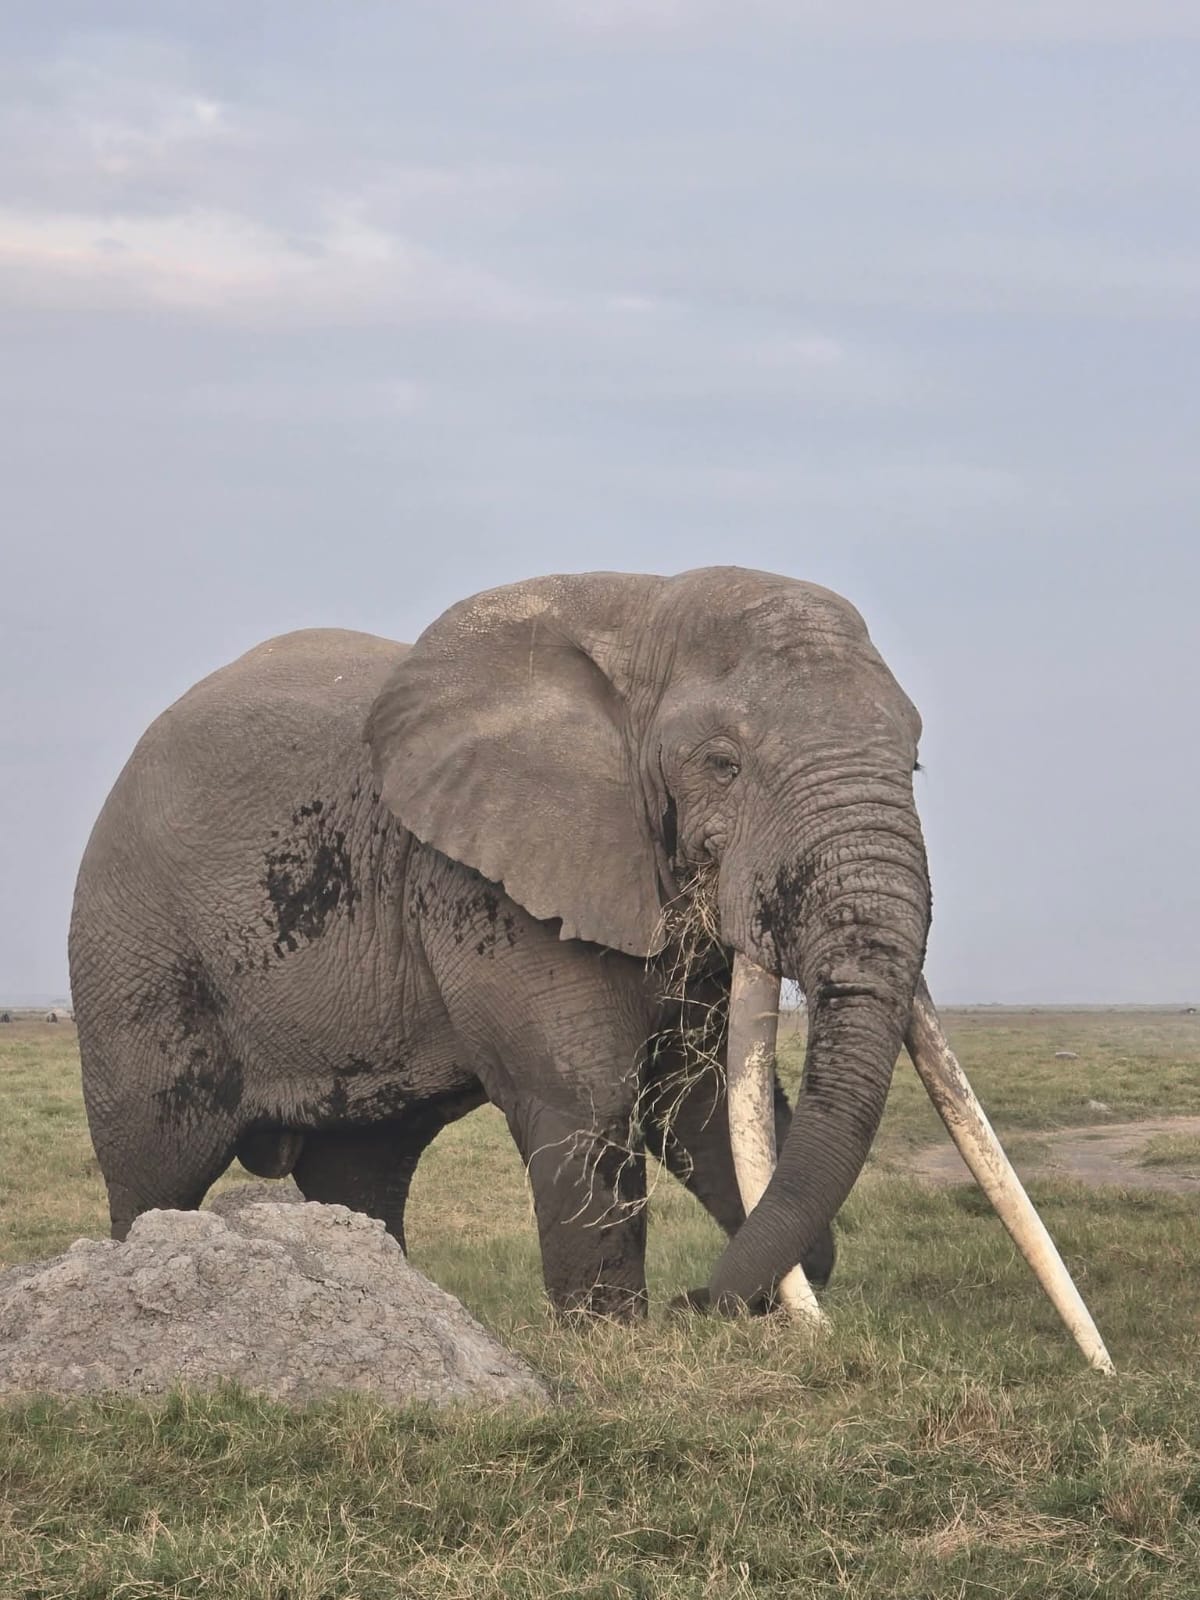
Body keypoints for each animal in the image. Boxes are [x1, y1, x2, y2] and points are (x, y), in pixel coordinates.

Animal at [69, 568, 1110, 1357]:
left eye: (917, 765)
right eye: (724, 764)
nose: (703, 1306)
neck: (639, 619)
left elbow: (700, 1099)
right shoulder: (487, 875)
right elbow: (588, 1092)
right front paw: (616, 1344)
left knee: (364, 1168)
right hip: (133, 941)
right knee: (160, 1154)